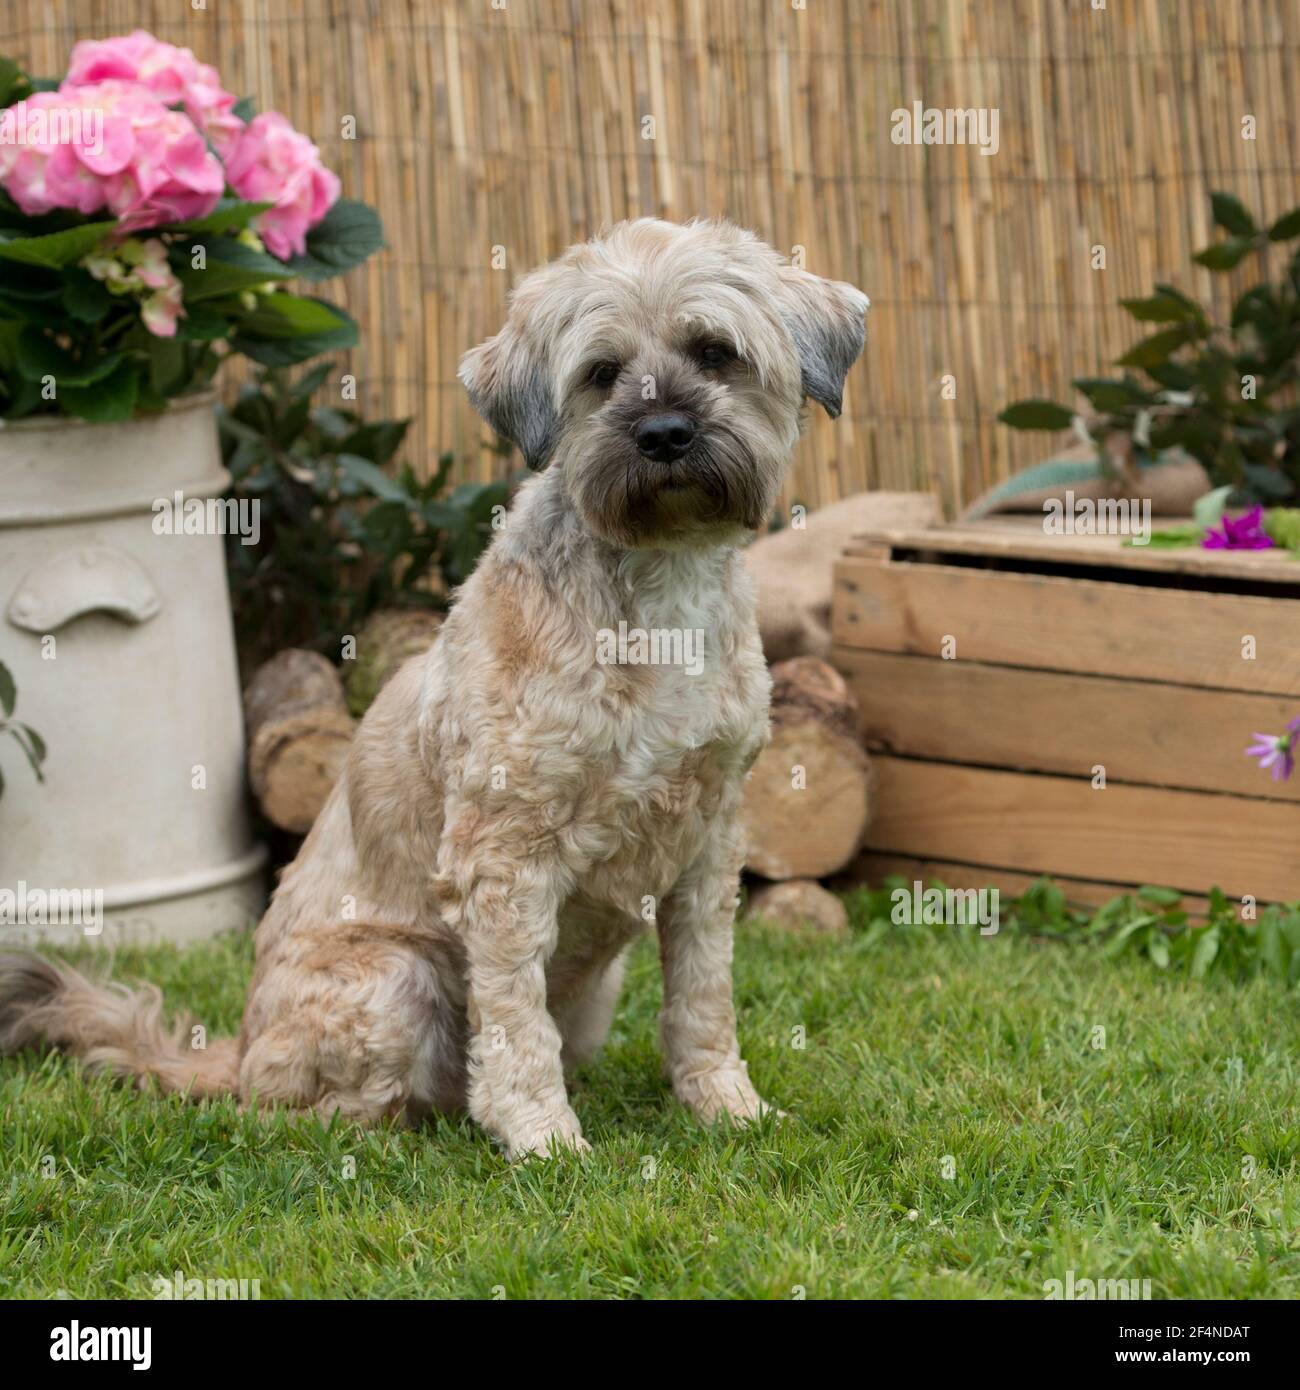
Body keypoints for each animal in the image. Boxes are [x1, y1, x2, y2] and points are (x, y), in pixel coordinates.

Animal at [2, 219, 873, 1162]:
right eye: (602, 373)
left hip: (595, 990)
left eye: (716, 352)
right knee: (305, 1112)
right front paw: (544, 1138)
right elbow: (515, 1020)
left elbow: (703, 998)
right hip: (395, 978)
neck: (657, 596)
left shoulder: (710, 843)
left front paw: (724, 1105)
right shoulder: (505, 855)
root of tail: (234, 1051)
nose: (665, 433)